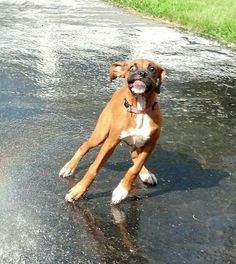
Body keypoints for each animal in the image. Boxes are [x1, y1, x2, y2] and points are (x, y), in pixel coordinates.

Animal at [59, 59, 166, 204]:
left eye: (152, 69)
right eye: (132, 68)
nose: (142, 73)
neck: (140, 109)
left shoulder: (150, 145)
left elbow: (135, 168)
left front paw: (122, 190)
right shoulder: (110, 143)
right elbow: (93, 168)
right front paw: (78, 191)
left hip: (137, 143)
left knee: (134, 156)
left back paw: (146, 174)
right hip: (101, 135)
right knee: (84, 146)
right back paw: (69, 167)